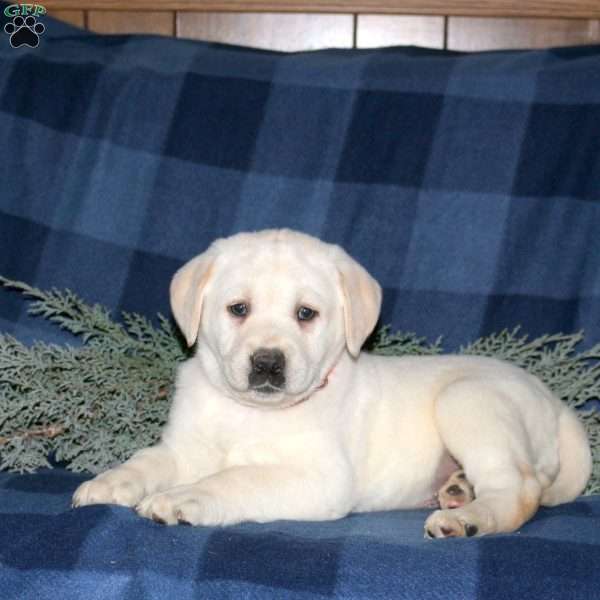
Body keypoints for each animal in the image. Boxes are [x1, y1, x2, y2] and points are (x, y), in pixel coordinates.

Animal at [72, 227, 592, 536]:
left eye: (306, 314)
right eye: (238, 308)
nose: (267, 363)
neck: (251, 414)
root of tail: (557, 403)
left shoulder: (318, 477)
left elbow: (235, 477)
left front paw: (184, 497)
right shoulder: (184, 449)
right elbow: (147, 460)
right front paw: (109, 483)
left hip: (469, 400)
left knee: (520, 489)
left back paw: (467, 517)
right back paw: (459, 488)